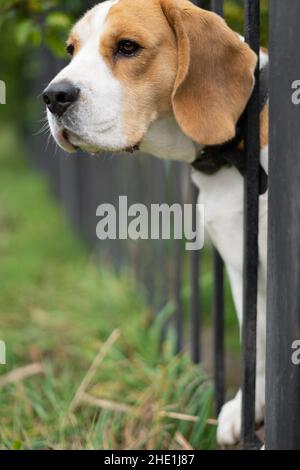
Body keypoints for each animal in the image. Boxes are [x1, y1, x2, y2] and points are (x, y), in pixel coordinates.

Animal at [44, 0, 270, 448]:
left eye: (128, 47)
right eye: (71, 50)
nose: (53, 96)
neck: (232, 153)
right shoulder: (243, 264)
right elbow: (257, 336)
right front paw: (246, 406)